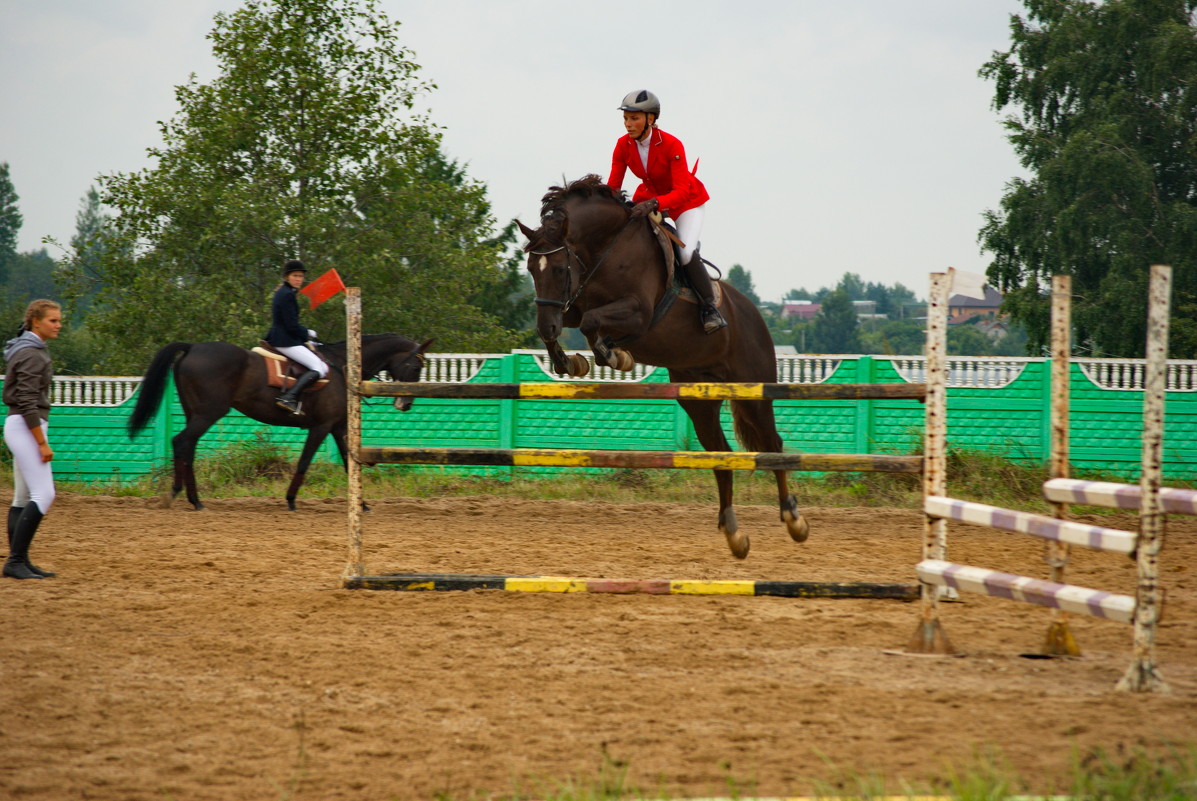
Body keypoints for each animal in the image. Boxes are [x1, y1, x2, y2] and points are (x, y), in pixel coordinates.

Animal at [129, 332, 430, 510]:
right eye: (416, 367)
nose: (405, 404)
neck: (343, 367)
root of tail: (192, 347)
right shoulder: (321, 427)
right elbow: (305, 461)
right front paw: (291, 500)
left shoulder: (337, 426)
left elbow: (348, 461)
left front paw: (362, 504)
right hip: (208, 413)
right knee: (182, 441)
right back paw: (184, 496)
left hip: (195, 413)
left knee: (186, 446)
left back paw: (190, 498)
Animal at [519, 176, 809, 560]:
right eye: (529, 270)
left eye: (559, 269)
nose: (548, 326)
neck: (605, 247)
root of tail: (755, 314)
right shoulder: (573, 305)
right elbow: (579, 323)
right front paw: (572, 361)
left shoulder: (638, 313)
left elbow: (592, 323)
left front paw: (616, 356)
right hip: (698, 399)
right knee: (721, 453)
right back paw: (734, 532)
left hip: (753, 390)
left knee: (772, 444)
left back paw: (794, 520)